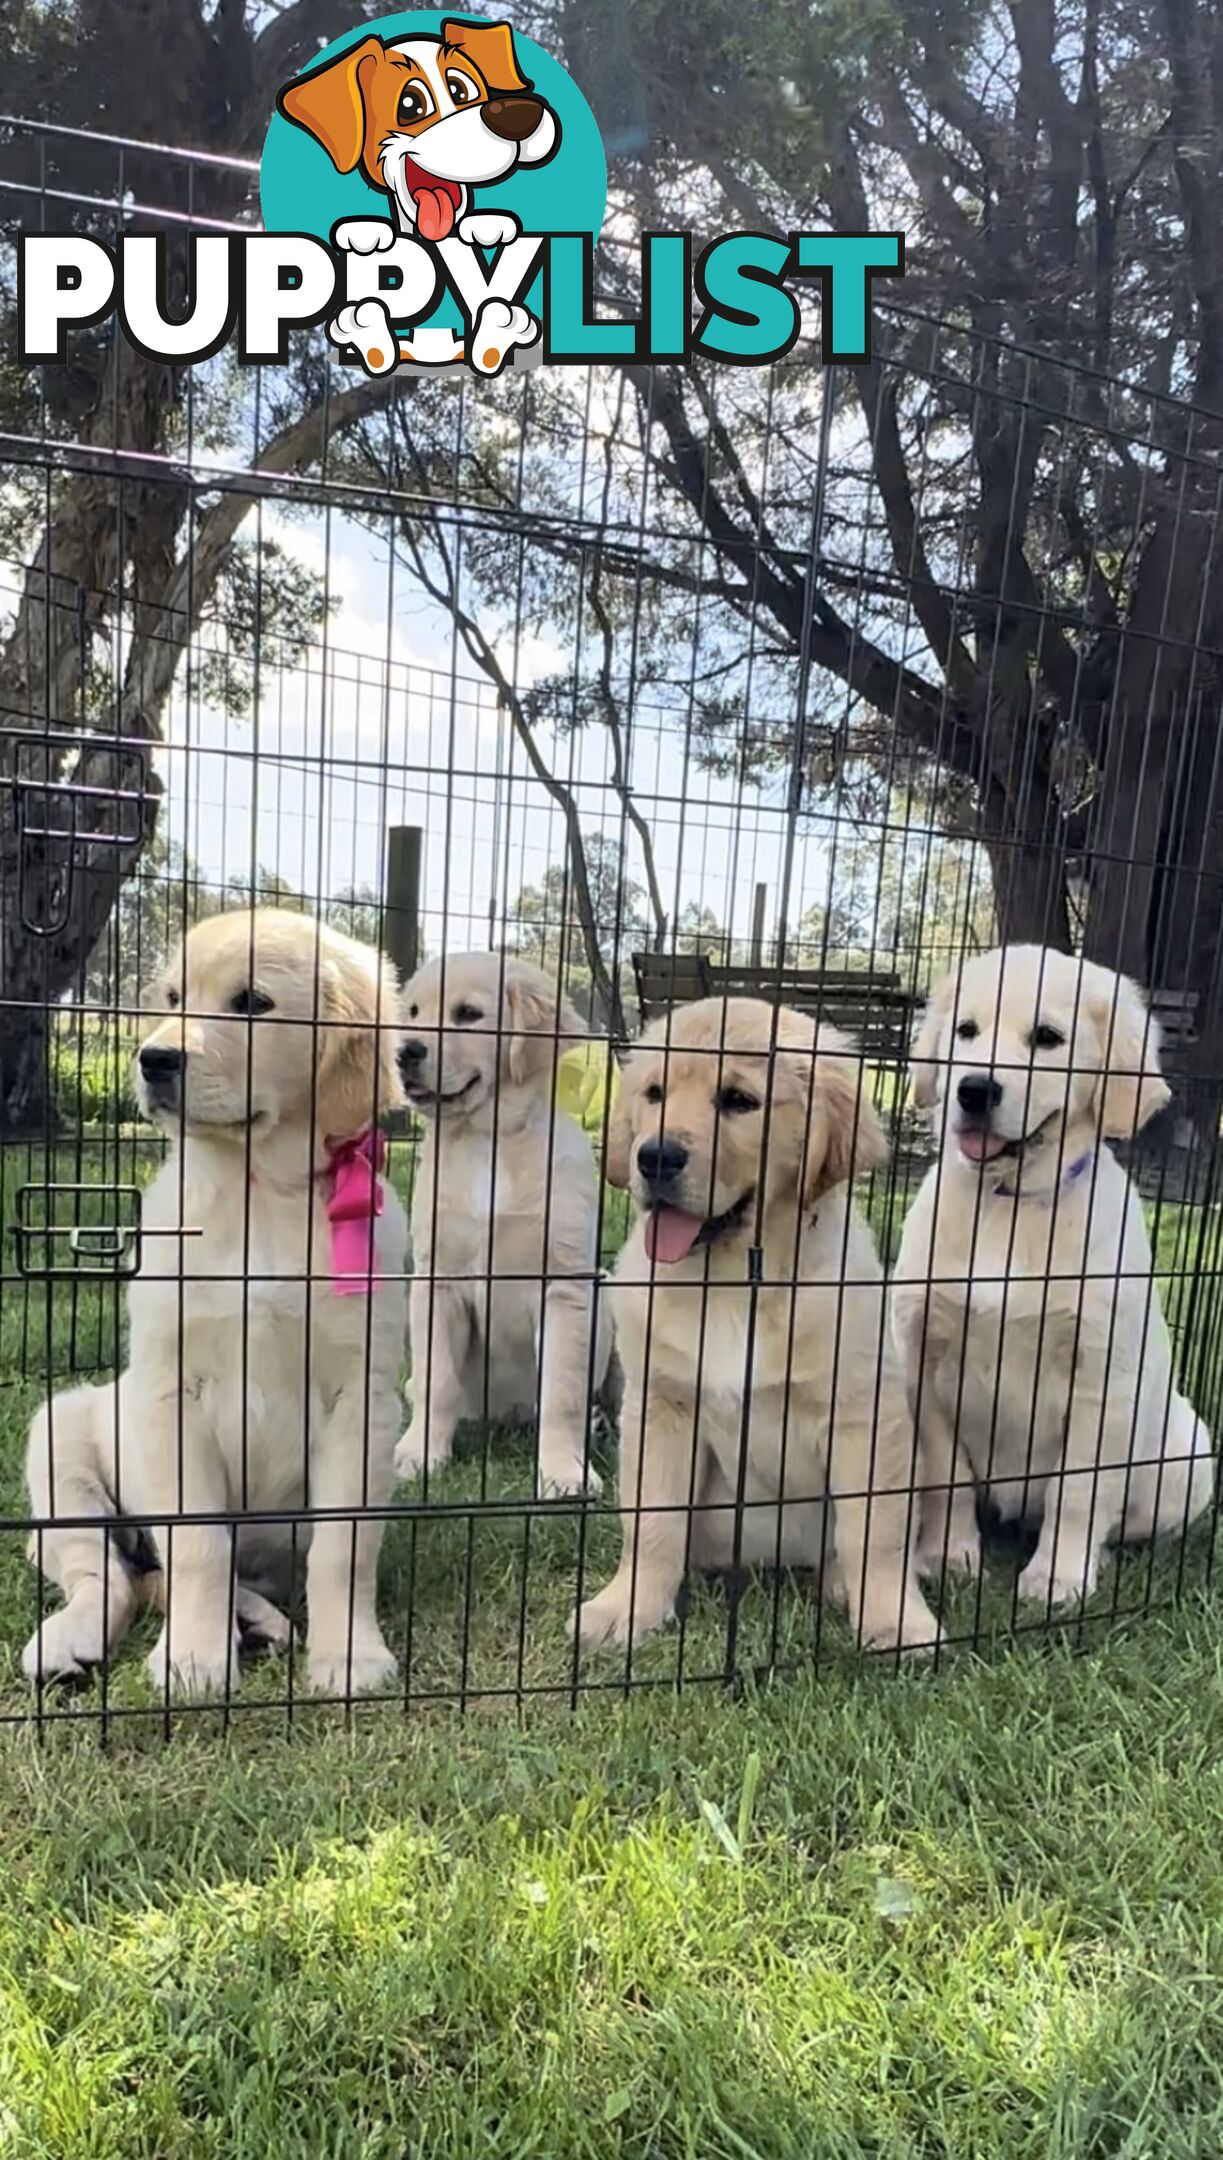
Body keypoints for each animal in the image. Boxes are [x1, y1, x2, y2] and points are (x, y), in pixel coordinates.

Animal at [22, 902, 408, 1693]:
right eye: (172, 998)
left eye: (252, 1003)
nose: (153, 1059)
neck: (263, 1190)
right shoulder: (175, 1393)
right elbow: (198, 1543)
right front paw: (195, 1660)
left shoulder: (362, 1400)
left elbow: (344, 1548)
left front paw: (349, 1655)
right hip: (57, 1436)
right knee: (106, 1572)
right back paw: (70, 1641)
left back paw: (259, 1623)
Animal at [397, 954, 613, 1494]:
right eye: (413, 1012)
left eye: (468, 1014)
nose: (405, 1052)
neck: (486, 1140)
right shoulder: (437, 1282)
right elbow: (436, 1380)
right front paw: (419, 1454)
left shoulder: (564, 1284)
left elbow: (562, 1393)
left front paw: (563, 1474)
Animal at [579, 993, 946, 1650]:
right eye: (654, 1093)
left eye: (739, 1101)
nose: (654, 1157)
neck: (733, 1282)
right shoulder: (662, 1404)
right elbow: (651, 1526)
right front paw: (626, 1610)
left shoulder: (863, 1415)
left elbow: (875, 1531)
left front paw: (894, 1619)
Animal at [890, 946, 1218, 1607]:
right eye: (966, 1030)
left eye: (1047, 1038)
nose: (974, 1089)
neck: (1010, 1203)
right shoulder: (924, 1362)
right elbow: (946, 1474)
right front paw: (950, 1554)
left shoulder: (1102, 1376)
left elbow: (1079, 1493)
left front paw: (1057, 1577)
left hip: (1191, 1452)